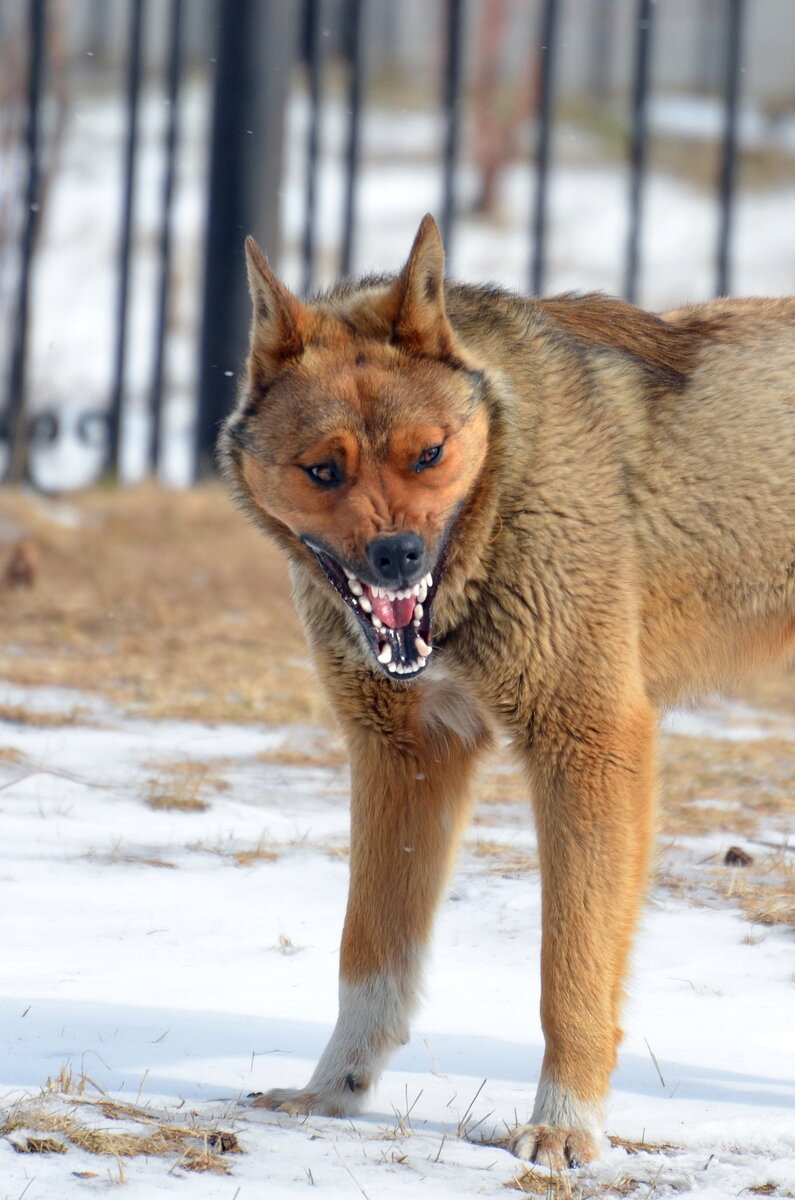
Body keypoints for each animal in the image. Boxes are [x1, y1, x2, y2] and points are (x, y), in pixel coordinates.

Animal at [218, 211, 795, 1166]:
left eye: (429, 455)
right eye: (323, 470)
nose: (397, 556)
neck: (507, 483)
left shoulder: (588, 742)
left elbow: (570, 970)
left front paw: (564, 1126)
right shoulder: (406, 758)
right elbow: (368, 957)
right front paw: (331, 1095)